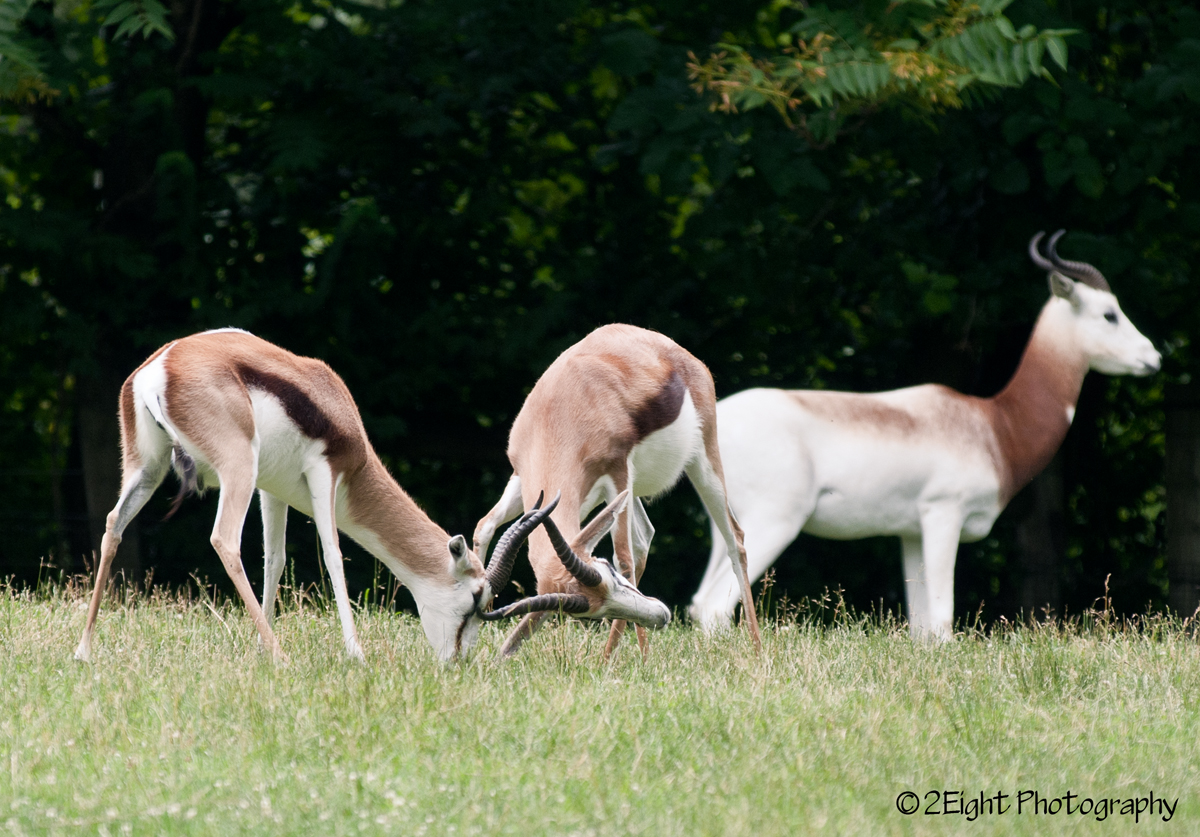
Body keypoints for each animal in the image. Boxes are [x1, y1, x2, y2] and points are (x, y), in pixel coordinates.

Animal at [72, 329, 654, 663]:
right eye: (475, 599)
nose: (458, 661)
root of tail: (162, 366)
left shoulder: (273, 489)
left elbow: (274, 559)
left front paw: (258, 648)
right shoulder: (324, 473)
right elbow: (332, 555)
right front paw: (354, 653)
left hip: (148, 468)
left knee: (113, 525)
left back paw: (83, 651)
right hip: (236, 466)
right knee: (222, 539)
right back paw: (283, 659)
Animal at [473, 323, 763, 658]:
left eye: (610, 574)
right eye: (591, 613)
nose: (660, 616)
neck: (561, 407)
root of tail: (670, 348)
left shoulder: (617, 473)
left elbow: (624, 557)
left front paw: (607, 660)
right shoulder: (523, 477)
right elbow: (484, 527)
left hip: (703, 463)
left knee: (734, 538)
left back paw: (756, 649)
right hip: (612, 494)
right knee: (644, 536)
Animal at [688, 231, 1161, 641]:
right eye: (1109, 314)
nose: (1154, 357)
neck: (994, 426)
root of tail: (714, 419)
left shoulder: (910, 533)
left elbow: (921, 627)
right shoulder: (943, 515)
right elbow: (942, 620)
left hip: (725, 522)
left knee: (698, 602)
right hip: (776, 521)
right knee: (714, 605)